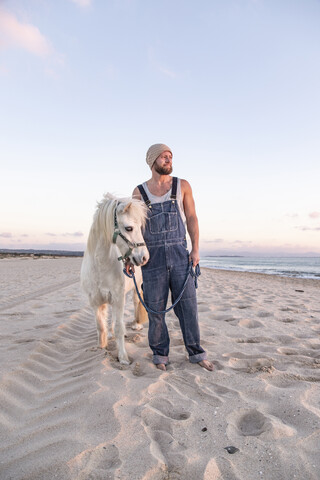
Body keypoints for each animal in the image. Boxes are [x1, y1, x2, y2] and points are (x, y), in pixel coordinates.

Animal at [80, 194, 149, 364]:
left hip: (134, 288)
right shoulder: (95, 300)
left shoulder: (118, 298)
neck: (100, 264)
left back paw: (136, 325)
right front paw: (101, 347)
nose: (144, 257)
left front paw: (123, 358)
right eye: (129, 228)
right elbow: (100, 326)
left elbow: (119, 327)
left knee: (136, 303)